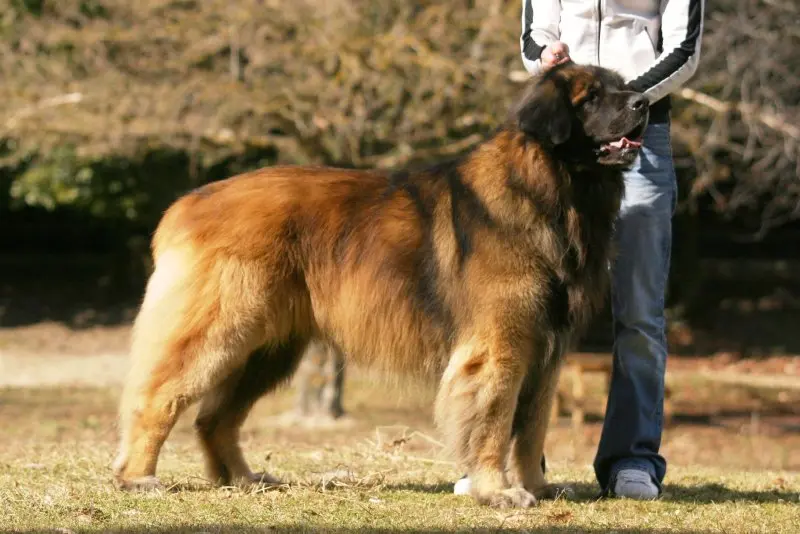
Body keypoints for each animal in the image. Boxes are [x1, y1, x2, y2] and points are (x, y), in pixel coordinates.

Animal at [114, 63, 648, 510]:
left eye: (621, 85)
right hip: (220, 332)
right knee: (156, 397)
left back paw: (243, 478)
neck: (554, 193)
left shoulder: (547, 351)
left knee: (215, 417)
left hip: (267, 349)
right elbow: (495, 424)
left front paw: (537, 486)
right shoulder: (501, 347)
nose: (643, 101)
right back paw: (138, 478)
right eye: (591, 97)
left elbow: (533, 428)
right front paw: (498, 491)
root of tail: (186, 204)